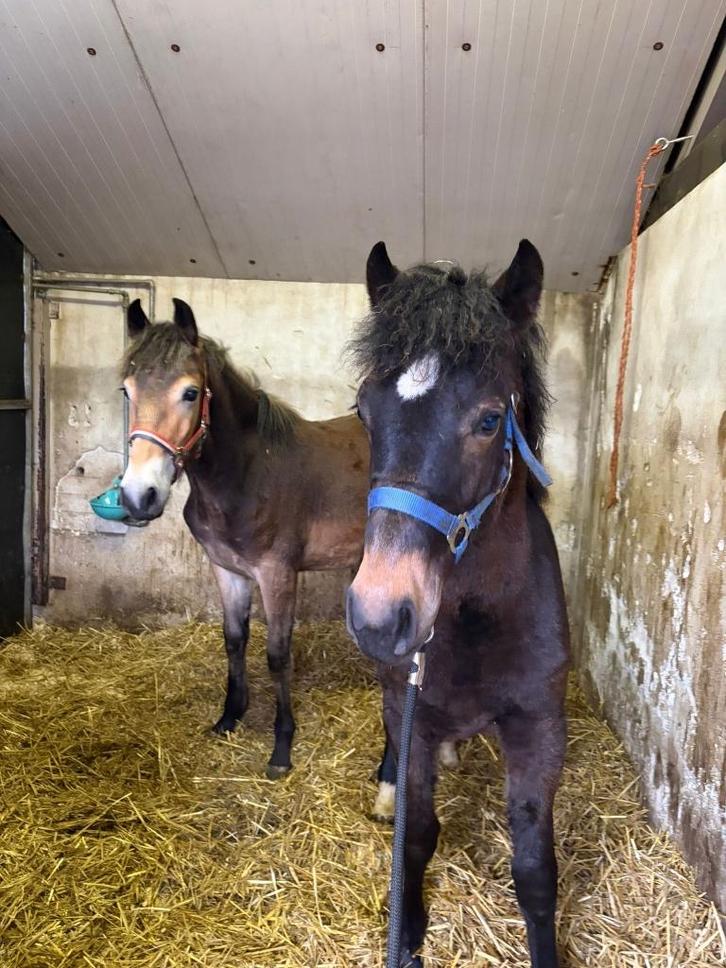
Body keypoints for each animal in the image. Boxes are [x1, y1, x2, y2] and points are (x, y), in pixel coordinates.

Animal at [118, 299, 370, 777]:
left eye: (190, 393)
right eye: (127, 391)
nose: (139, 496)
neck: (247, 474)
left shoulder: (277, 574)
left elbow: (277, 653)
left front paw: (282, 747)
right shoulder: (227, 570)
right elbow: (234, 639)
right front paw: (229, 716)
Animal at [346, 240, 570, 967]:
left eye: (490, 420)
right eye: (364, 411)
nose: (380, 616)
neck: (474, 617)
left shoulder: (539, 727)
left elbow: (535, 867)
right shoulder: (407, 705)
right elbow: (415, 837)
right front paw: (408, 937)